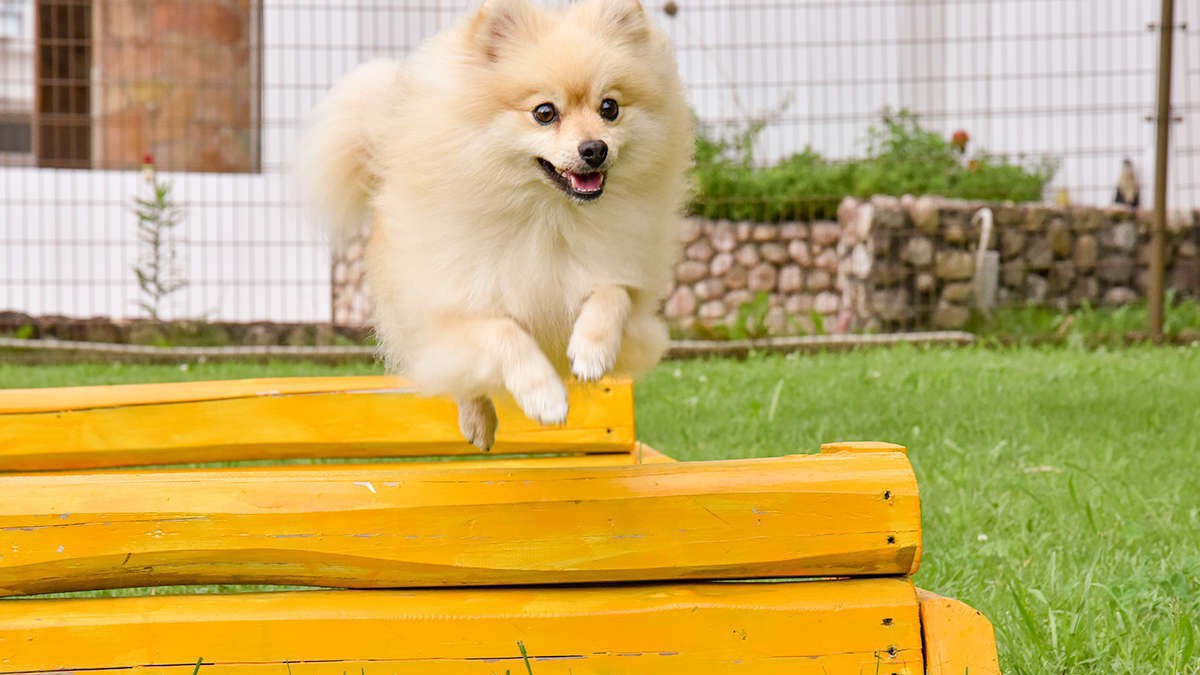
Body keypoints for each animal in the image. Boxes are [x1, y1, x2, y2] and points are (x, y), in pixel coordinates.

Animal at [300, 1, 696, 451]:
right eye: (545, 113)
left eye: (609, 108)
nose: (595, 148)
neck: (550, 216)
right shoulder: (463, 301)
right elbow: (505, 334)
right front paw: (545, 397)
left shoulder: (622, 275)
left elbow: (612, 296)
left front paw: (591, 352)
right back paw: (478, 422)